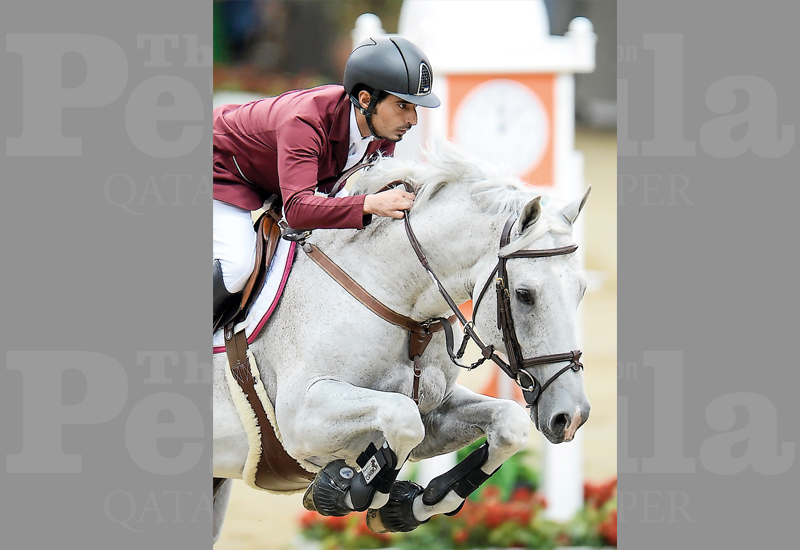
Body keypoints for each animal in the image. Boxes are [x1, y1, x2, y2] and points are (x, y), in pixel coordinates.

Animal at [212, 142, 588, 544]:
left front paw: (406, 507)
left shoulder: (435, 412)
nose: (572, 417)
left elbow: (509, 425)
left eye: (581, 289)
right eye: (524, 294)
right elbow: (402, 419)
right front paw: (339, 491)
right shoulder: (300, 418)